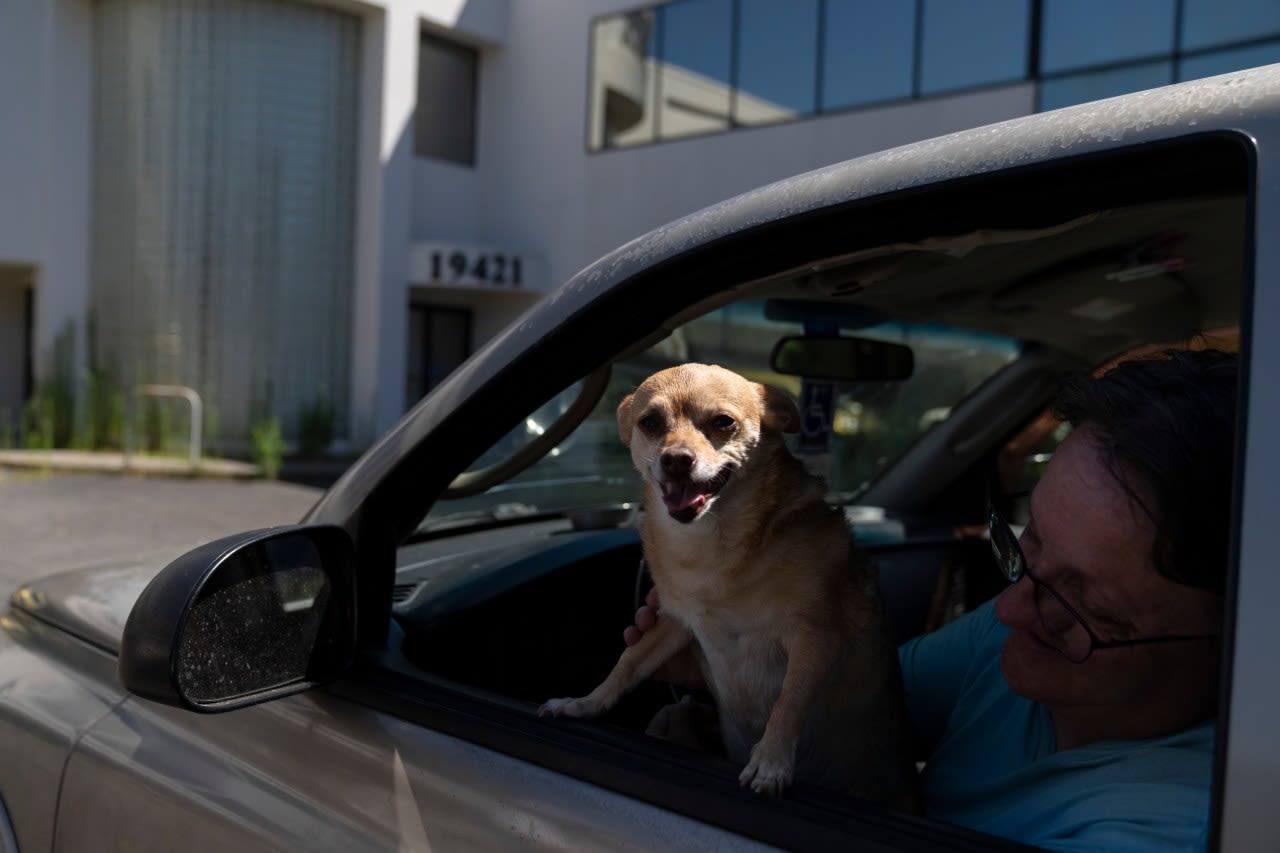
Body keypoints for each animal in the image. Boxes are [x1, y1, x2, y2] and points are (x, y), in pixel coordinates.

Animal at [540, 361, 921, 804]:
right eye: (649, 423)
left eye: (723, 423)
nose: (676, 459)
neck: (715, 544)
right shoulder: (676, 621)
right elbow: (627, 663)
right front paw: (586, 703)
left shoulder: (816, 639)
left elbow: (789, 701)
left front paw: (771, 761)